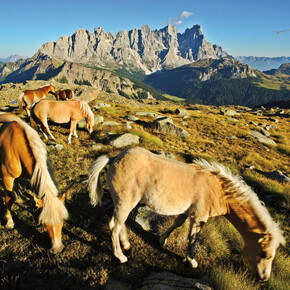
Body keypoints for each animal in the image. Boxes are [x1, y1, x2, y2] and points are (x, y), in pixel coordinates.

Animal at [0, 112, 68, 253]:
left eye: (63, 219)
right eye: (43, 223)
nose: (57, 249)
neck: (16, 147)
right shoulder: (7, 178)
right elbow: (8, 199)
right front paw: (9, 222)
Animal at [88, 147, 286, 280]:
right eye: (265, 254)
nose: (264, 278)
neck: (219, 190)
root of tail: (114, 158)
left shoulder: (187, 212)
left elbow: (177, 224)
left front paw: (162, 240)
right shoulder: (199, 217)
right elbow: (193, 238)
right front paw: (191, 260)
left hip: (123, 202)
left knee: (119, 224)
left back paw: (127, 245)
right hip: (126, 201)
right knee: (114, 225)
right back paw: (120, 256)